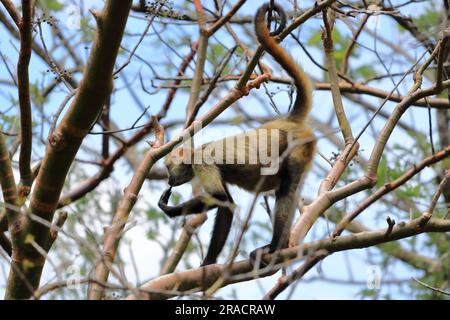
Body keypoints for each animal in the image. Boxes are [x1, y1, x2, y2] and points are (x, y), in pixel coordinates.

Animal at [159, 2, 316, 268]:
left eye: (169, 168)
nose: (169, 180)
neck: (198, 150)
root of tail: (287, 120)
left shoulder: (203, 163)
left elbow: (223, 201)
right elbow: (225, 203)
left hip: (299, 147)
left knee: (286, 189)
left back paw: (275, 246)